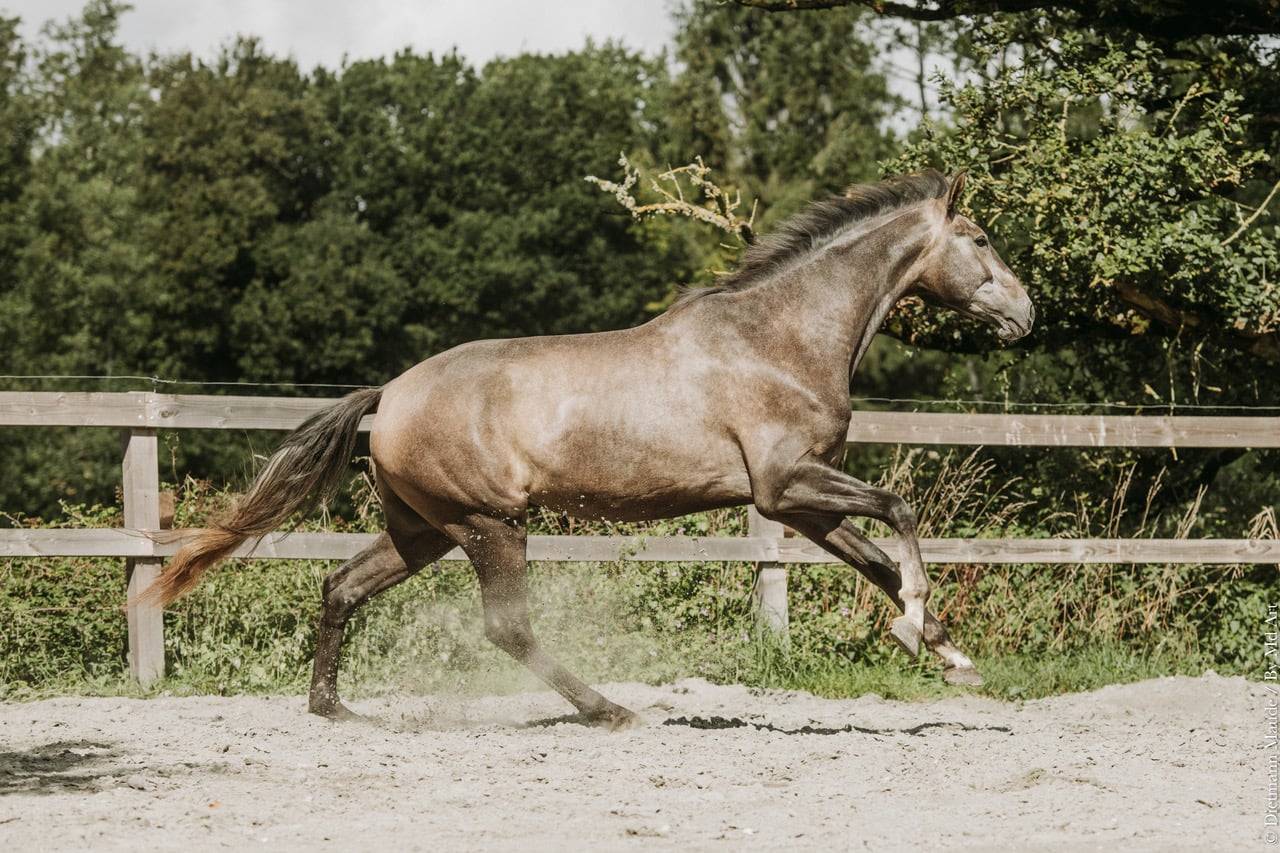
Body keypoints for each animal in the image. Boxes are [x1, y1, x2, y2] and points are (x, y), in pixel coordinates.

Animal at [145, 169, 1033, 727]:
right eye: (981, 237)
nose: (1026, 313)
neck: (775, 338)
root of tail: (390, 394)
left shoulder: (799, 503)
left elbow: (876, 557)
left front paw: (951, 655)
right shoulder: (785, 486)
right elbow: (901, 511)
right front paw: (917, 629)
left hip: (422, 529)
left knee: (341, 586)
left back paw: (335, 708)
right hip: (488, 525)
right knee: (507, 628)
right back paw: (612, 709)